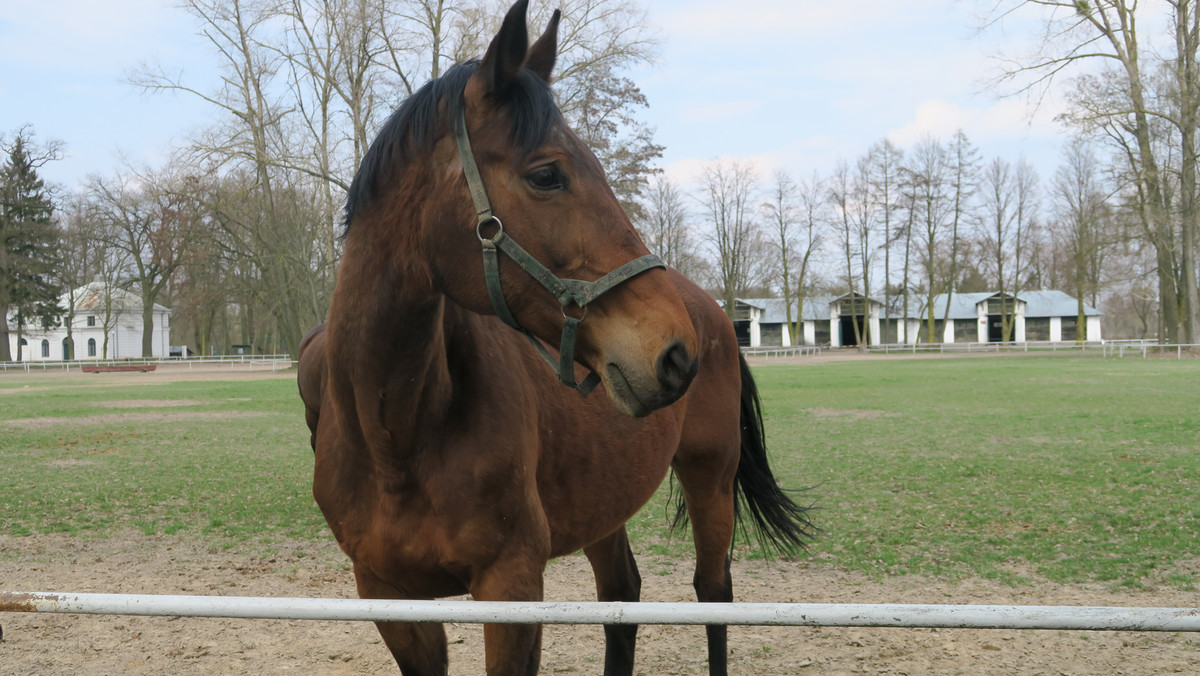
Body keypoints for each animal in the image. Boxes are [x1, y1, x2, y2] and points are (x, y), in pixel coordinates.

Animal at [295, 2, 811, 672]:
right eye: (547, 174)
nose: (675, 353)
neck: (396, 438)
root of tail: (714, 315)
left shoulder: (511, 588)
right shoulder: (391, 599)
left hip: (709, 475)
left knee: (712, 594)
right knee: (621, 595)